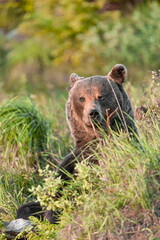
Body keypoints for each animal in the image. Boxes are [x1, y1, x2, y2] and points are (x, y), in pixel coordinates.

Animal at [11, 64, 139, 230]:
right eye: (81, 98)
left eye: (101, 96)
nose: (93, 113)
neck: (96, 138)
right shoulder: (73, 161)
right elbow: (53, 195)